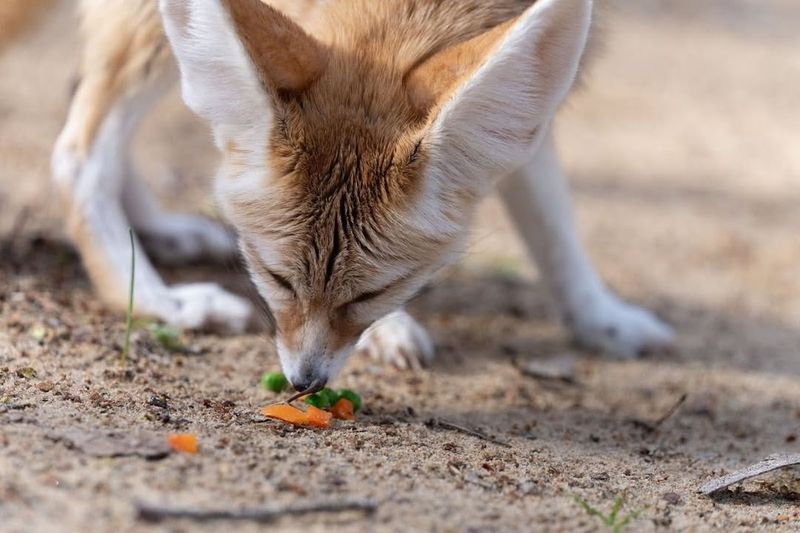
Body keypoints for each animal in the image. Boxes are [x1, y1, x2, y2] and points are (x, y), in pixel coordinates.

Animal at [6, 0, 673, 392]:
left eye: (373, 291)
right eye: (274, 277)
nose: (304, 384)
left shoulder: (530, 116)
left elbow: (554, 226)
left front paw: (600, 317)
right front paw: (393, 331)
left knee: (81, 103)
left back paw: (156, 231)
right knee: (76, 152)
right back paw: (156, 299)